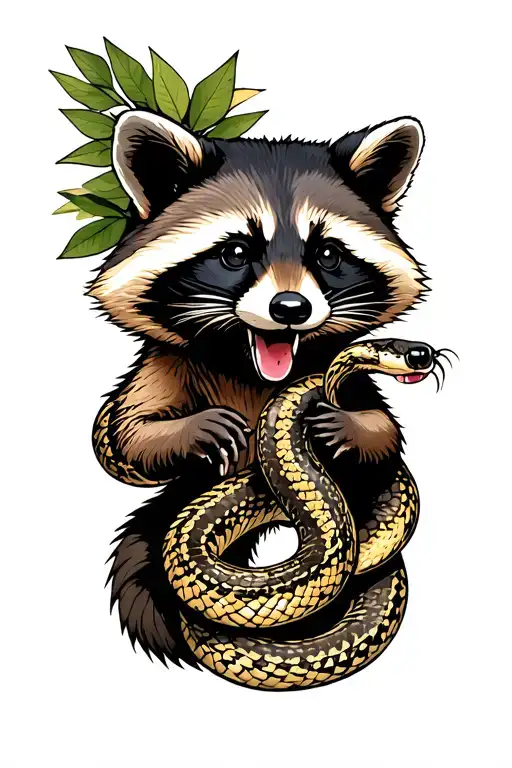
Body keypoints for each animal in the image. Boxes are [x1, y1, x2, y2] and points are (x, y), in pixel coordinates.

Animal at [88, 112, 427, 666]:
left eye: (328, 254)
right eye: (235, 253)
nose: (290, 309)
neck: (253, 372)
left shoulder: (348, 383)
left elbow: (383, 433)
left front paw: (346, 425)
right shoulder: (165, 366)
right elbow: (127, 434)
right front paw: (193, 430)